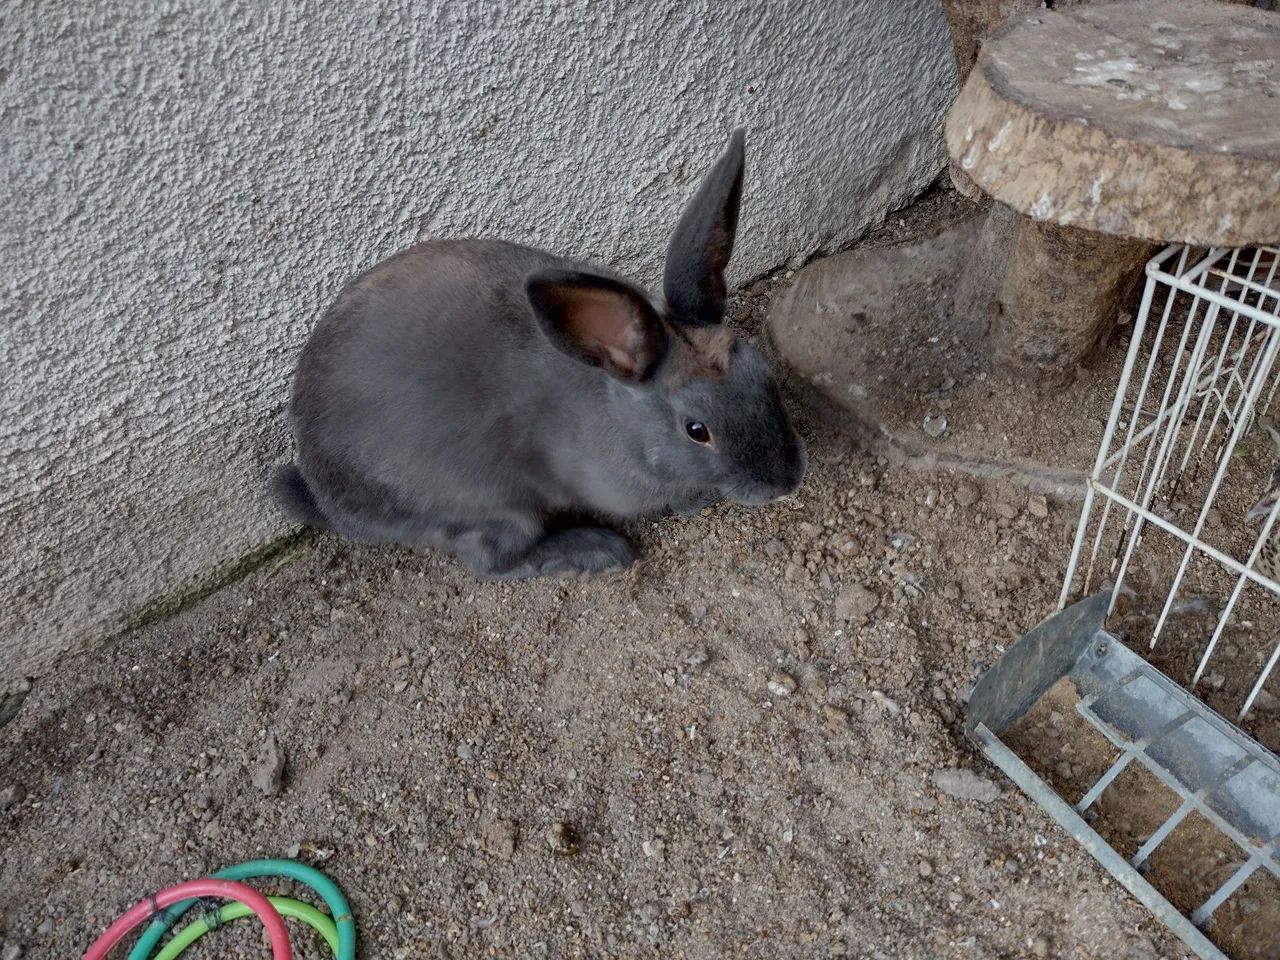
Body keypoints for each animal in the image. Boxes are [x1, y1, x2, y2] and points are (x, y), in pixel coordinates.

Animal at [272, 129, 806, 579]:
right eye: (697, 431)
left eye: (764, 376)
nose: (786, 480)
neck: (620, 415)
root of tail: (330, 503)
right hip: (492, 511)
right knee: (493, 563)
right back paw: (593, 551)